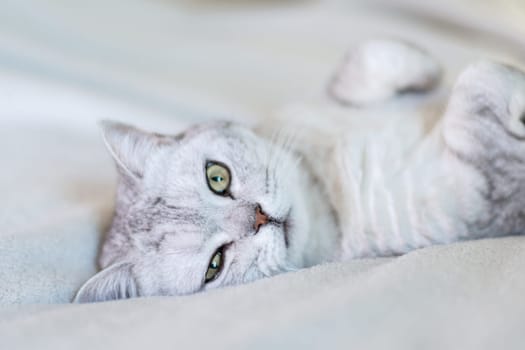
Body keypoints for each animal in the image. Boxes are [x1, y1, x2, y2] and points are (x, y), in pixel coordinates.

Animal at [72, 39, 524, 302]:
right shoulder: (484, 198)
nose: (259, 218)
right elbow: (477, 80)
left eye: (217, 177)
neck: (325, 185)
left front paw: (427, 69)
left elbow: (369, 56)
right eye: (215, 264)